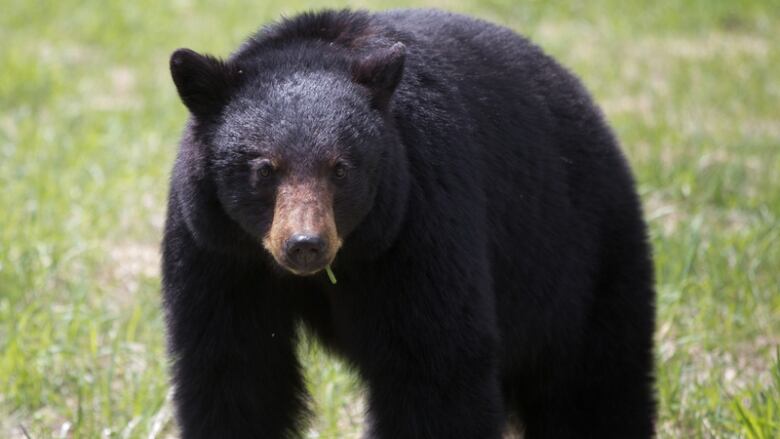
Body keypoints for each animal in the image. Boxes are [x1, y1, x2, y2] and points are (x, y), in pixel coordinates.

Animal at [165, 7, 660, 439]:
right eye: (265, 169)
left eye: (340, 168)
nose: (305, 244)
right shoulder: (216, 249)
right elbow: (233, 369)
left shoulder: (418, 219)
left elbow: (434, 365)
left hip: (582, 254)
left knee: (594, 380)